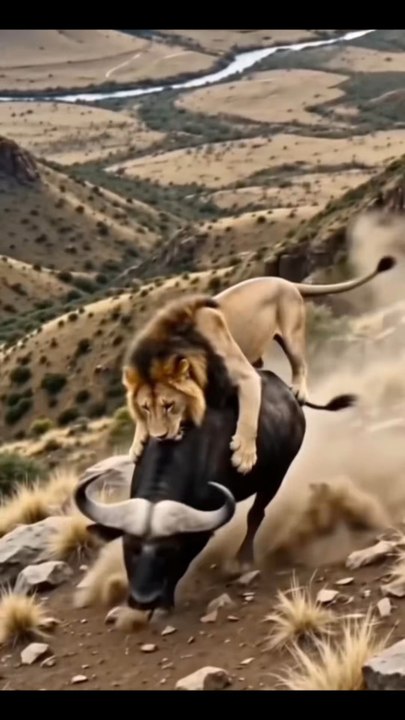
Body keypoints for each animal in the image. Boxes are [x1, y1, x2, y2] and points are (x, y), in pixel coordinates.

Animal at [74, 370, 351, 616]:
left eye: (169, 550)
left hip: (276, 476)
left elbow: (183, 565)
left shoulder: (198, 535)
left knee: (256, 514)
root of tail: (290, 394)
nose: (144, 600)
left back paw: (242, 560)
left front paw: (165, 603)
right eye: (129, 547)